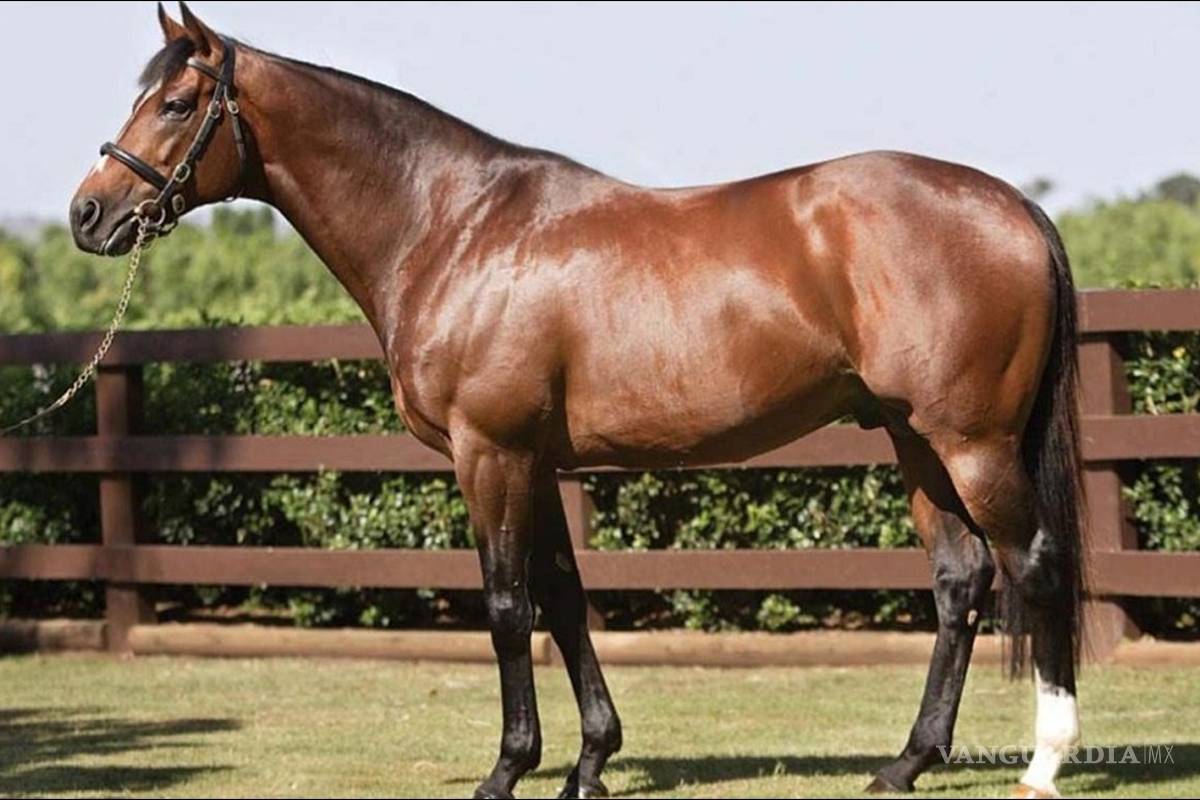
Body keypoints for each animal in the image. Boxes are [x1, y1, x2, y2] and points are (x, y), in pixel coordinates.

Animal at [70, 4, 1085, 798]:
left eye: (175, 103)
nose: (88, 213)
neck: (452, 227)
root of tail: (1012, 207)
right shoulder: (538, 460)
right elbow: (562, 596)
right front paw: (591, 762)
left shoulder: (490, 453)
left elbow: (506, 603)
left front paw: (507, 768)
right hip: (915, 440)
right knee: (961, 580)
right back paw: (905, 763)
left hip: (972, 443)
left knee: (1032, 565)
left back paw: (1045, 761)